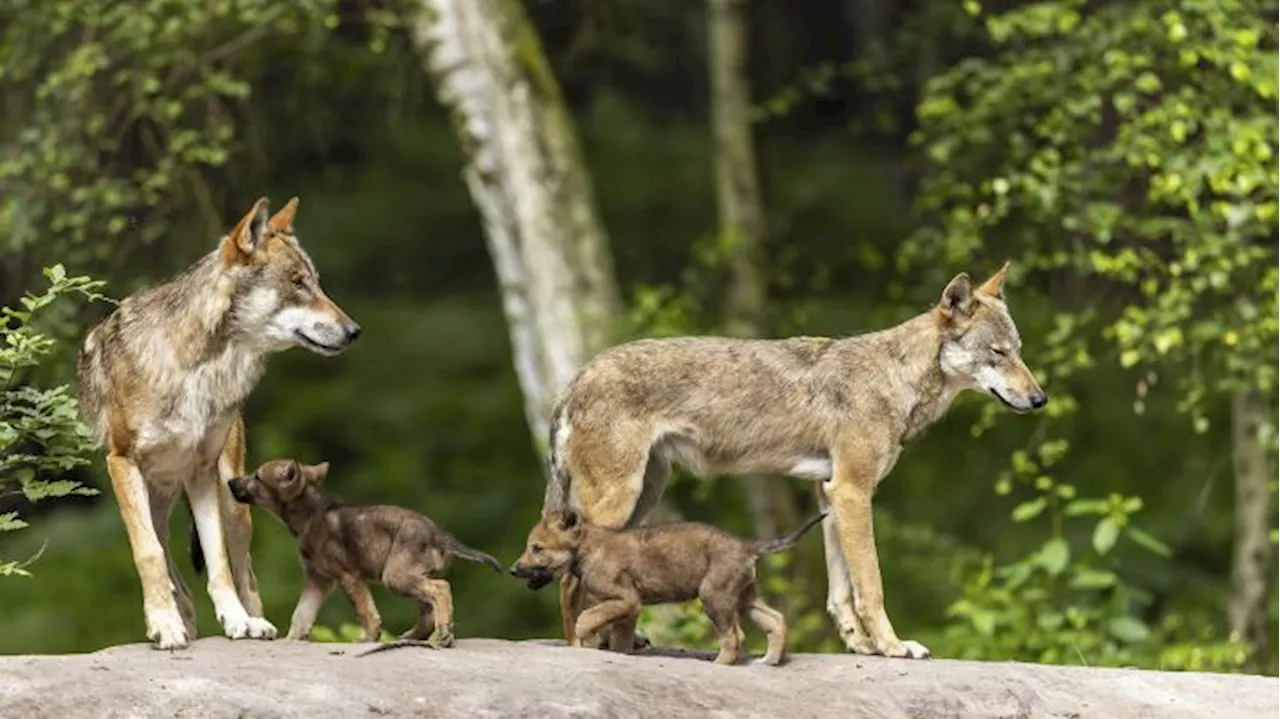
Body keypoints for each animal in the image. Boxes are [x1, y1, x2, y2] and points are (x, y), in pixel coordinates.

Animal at [76, 195, 360, 649]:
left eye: (316, 283)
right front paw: (164, 624)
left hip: (234, 500)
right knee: (167, 561)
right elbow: (149, 554)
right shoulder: (122, 462)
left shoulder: (201, 473)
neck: (198, 368)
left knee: (246, 575)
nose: (354, 330)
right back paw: (181, 620)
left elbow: (219, 562)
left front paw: (236, 621)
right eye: (297, 283)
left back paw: (254, 621)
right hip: (151, 500)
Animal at [230, 455, 504, 647]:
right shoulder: (318, 579)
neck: (310, 514)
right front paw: (292, 639)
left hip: (396, 576)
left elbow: (365, 612)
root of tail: (440, 535)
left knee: (441, 590)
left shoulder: (348, 576)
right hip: (413, 576)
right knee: (428, 608)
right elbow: (302, 614)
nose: (230, 482)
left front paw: (368, 637)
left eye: (256, 476)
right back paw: (412, 636)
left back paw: (445, 632)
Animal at [506, 506, 819, 665]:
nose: (512, 569)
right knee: (776, 620)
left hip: (714, 596)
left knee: (735, 637)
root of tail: (745, 545)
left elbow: (586, 618)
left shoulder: (626, 599)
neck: (587, 549)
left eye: (537, 548)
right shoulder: (628, 610)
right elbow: (619, 640)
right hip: (744, 598)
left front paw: (588, 640)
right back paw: (771, 660)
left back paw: (718, 665)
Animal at [535, 262, 1044, 655]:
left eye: (1019, 352)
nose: (1040, 399)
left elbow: (841, 592)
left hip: (645, 496)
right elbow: (871, 586)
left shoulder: (830, 495)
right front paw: (894, 647)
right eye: (998, 353)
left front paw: (861, 646)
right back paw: (581, 645)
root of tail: (575, 379)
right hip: (619, 500)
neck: (894, 381)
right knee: (569, 579)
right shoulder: (853, 492)